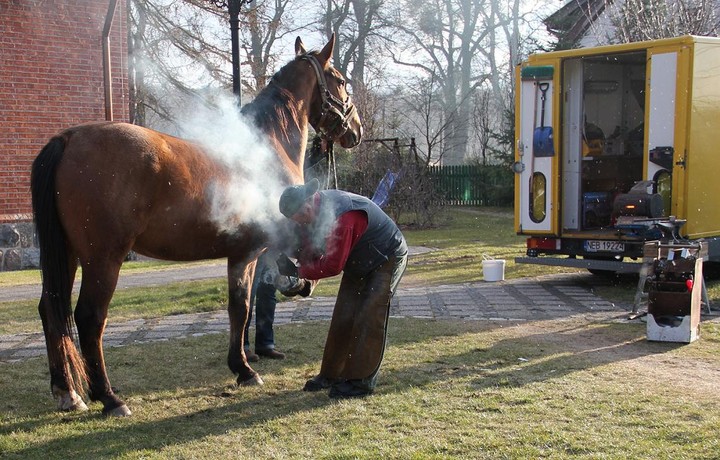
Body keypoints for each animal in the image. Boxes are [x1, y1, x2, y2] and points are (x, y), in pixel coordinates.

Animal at [30, 35, 362, 416]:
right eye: (341, 80)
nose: (356, 130)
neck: (267, 145)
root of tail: (69, 138)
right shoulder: (249, 253)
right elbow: (242, 308)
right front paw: (245, 368)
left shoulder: (241, 253)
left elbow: (240, 307)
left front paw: (243, 364)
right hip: (103, 260)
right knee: (89, 318)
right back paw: (109, 398)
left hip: (67, 255)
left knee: (51, 311)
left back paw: (68, 393)